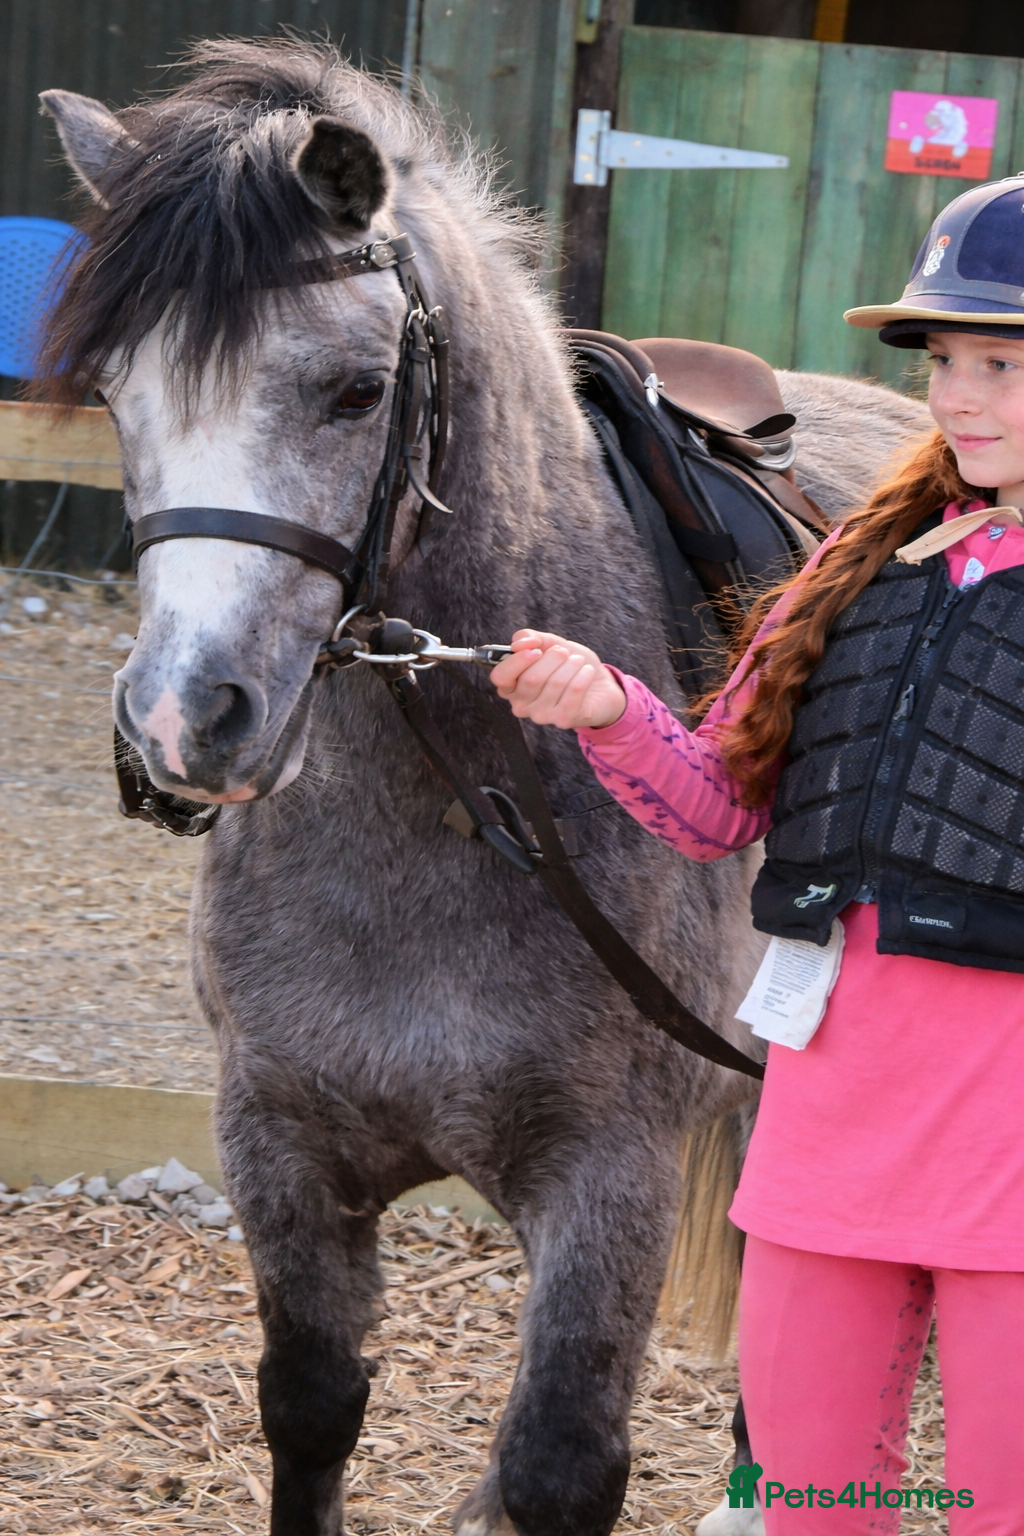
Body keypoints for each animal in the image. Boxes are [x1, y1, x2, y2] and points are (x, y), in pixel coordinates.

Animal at [38, 42, 931, 1536]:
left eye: (355, 390)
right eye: (115, 392)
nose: (178, 720)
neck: (454, 803)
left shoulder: (608, 1179)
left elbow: (559, 1465)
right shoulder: (280, 1138)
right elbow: (313, 1408)